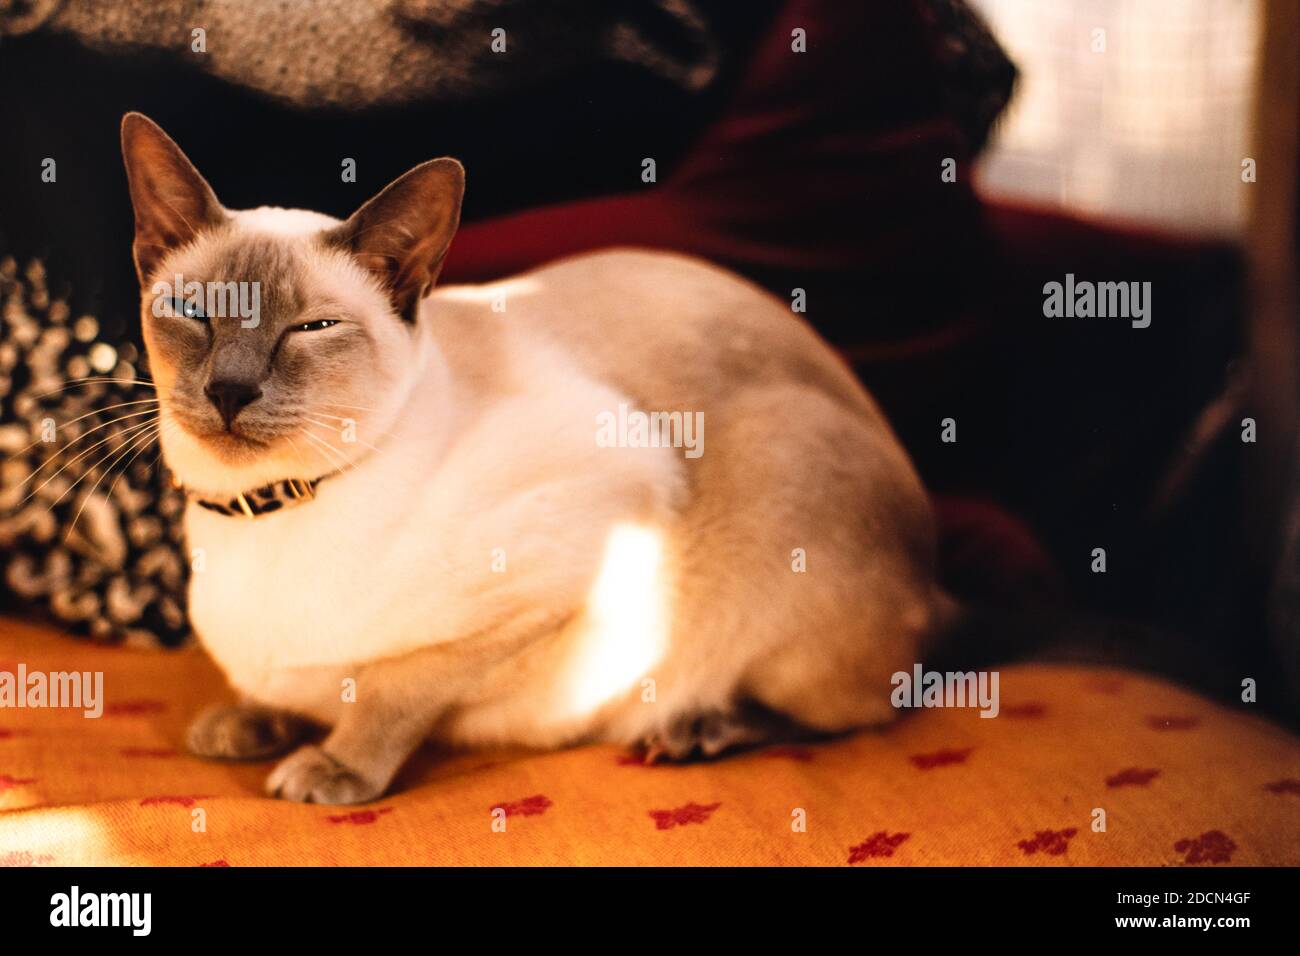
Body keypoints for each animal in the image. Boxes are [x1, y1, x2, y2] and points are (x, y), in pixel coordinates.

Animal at [119, 111, 956, 806]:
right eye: (191, 314)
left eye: (311, 329)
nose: (229, 390)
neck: (265, 508)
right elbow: (284, 691)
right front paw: (253, 721)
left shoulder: (554, 575)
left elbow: (396, 686)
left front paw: (336, 767)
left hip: (781, 521)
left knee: (855, 709)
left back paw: (697, 729)